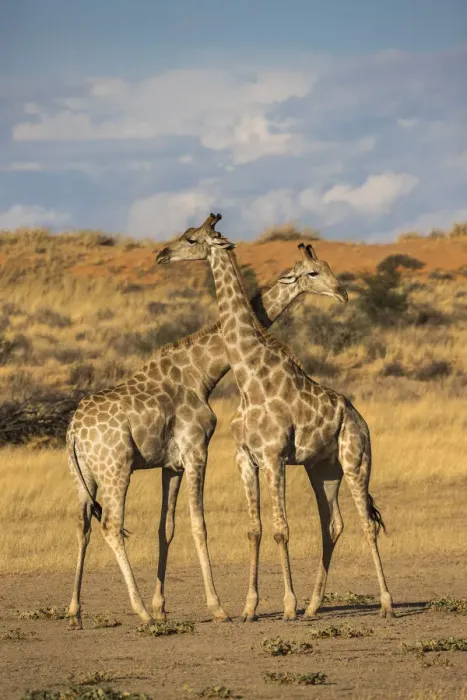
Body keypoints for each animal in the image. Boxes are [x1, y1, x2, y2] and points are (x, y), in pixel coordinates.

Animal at [66, 225, 347, 629]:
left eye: (325, 268)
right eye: (313, 272)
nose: (341, 293)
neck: (202, 371)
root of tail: (73, 431)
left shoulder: (172, 464)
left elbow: (166, 528)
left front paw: (162, 605)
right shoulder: (197, 449)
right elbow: (199, 525)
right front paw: (216, 607)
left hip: (84, 475)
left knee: (83, 525)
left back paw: (75, 612)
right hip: (116, 468)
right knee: (112, 526)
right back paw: (139, 611)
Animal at [157, 213, 394, 622]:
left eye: (191, 239)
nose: (162, 254)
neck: (249, 377)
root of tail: (361, 420)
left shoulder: (273, 456)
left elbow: (281, 529)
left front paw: (287, 606)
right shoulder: (245, 458)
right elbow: (254, 529)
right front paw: (250, 608)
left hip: (355, 460)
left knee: (367, 523)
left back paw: (385, 603)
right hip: (323, 469)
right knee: (333, 524)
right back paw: (314, 606)